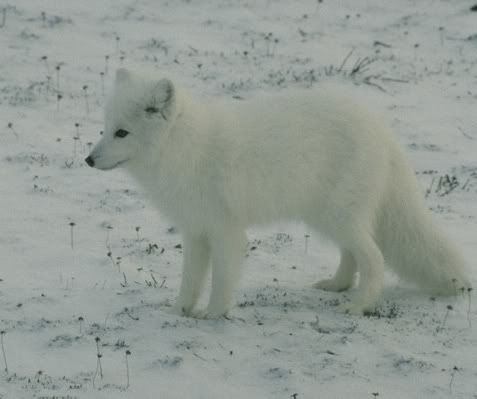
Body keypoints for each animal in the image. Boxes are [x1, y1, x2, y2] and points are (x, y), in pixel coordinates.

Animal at [84, 68, 468, 318]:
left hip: (340, 216)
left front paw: (212, 316)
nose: (87, 160)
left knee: (373, 258)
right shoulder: (196, 231)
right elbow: (190, 280)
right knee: (352, 255)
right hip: (330, 218)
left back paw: (359, 306)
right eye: (105, 128)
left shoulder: (225, 231)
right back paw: (338, 285)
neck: (185, 147)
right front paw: (178, 311)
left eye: (122, 133)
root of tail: (382, 131)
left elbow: (221, 280)